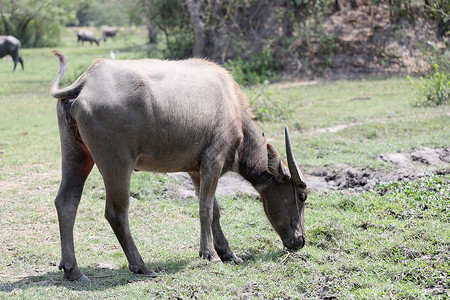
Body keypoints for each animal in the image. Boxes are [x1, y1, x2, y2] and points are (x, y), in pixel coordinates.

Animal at [50, 50, 310, 282]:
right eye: (301, 196)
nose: (300, 241)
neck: (231, 105)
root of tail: (87, 81)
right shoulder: (213, 162)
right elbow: (206, 209)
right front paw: (210, 254)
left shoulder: (196, 170)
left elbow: (215, 210)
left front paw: (228, 252)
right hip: (117, 164)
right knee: (116, 212)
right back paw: (141, 266)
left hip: (77, 155)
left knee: (66, 203)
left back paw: (73, 270)